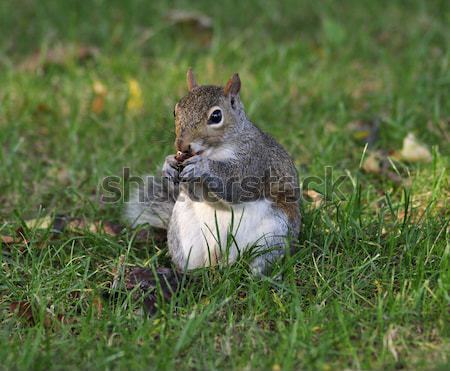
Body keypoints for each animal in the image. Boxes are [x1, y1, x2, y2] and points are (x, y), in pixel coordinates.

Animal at [125, 70, 300, 274]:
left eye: (216, 116)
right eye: (175, 110)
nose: (181, 145)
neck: (215, 151)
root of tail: (220, 257)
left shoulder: (255, 159)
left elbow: (237, 185)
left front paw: (202, 166)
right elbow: (198, 195)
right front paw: (168, 164)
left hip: (273, 235)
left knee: (261, 260)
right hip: (183, 234)